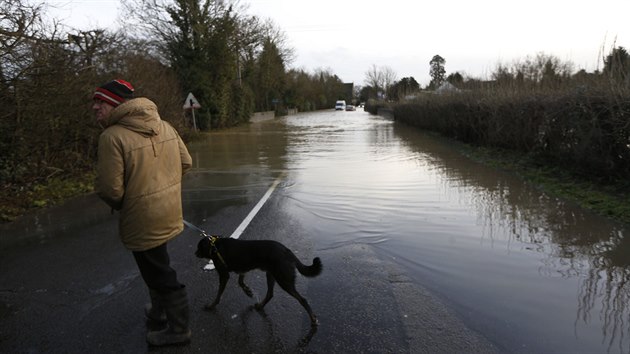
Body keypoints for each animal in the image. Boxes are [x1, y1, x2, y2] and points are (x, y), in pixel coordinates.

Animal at [196, 236, 326, 328]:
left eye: (199, 247)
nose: (195, 253)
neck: (214, 246)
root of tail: (287, 251)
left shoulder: (224, 275)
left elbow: (218, 295)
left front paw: (211, 305)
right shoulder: (243, 269)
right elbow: (241, 282)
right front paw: (248, 291)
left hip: (283, 280)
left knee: (302, 299)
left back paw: (313, 319)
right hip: (271, 275)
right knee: (270, 294)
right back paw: (260, 306)